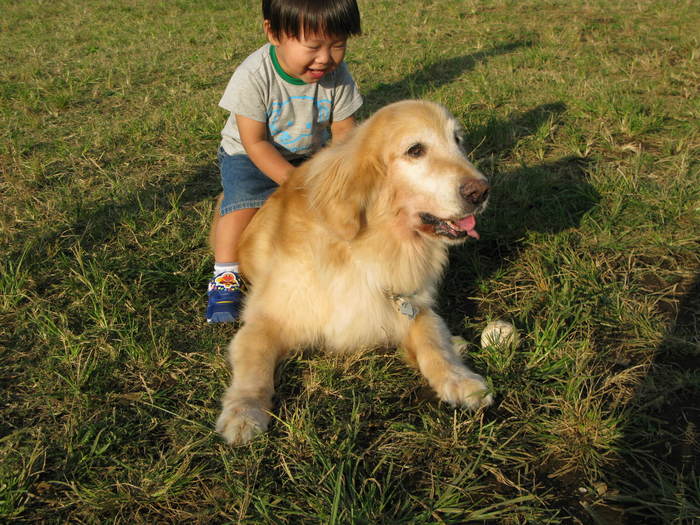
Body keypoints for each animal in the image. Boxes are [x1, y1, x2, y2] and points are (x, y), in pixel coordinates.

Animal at [216, 100, 494, 444]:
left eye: (457, 140)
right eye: (415, 150)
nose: (481, 191)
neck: (368, 247)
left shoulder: (411, 306)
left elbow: (433, 342)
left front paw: (460, 379)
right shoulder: (266, 319)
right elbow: (254, 366)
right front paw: (244, 412)